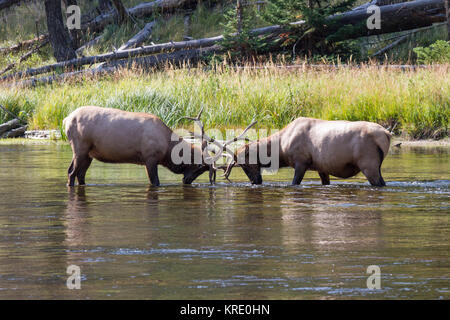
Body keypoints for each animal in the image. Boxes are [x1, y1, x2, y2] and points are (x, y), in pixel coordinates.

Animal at [62, 106, 214, 186]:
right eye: (200, 167)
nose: (187, 181)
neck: (167, 148)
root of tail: (66, 119)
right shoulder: (150, 157)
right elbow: (155, 182)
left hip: (89, 154)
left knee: (80, 175)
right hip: (80, 148)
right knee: (71, 172)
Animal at [223, 117, 392, 188]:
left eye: (244, 164)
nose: (255, 181)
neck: (282, 148)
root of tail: (387, 134)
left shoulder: (301, 161)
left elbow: (294, 182)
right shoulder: (322, 168)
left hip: (368, 164)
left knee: (379, 183)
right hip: (375, 165)